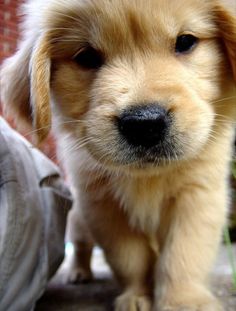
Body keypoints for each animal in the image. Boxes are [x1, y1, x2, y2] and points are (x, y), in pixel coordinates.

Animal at [0, 0, 236, 311]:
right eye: (86, 56)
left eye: (185, 42)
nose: (144, 124)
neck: (147, 178)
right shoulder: (103, 207)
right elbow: (130, 257)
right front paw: (136, 295)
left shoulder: (197, 196)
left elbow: (182, 255)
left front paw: (183, 300)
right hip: (79, 220)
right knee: (81, 246)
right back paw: (79, 272)